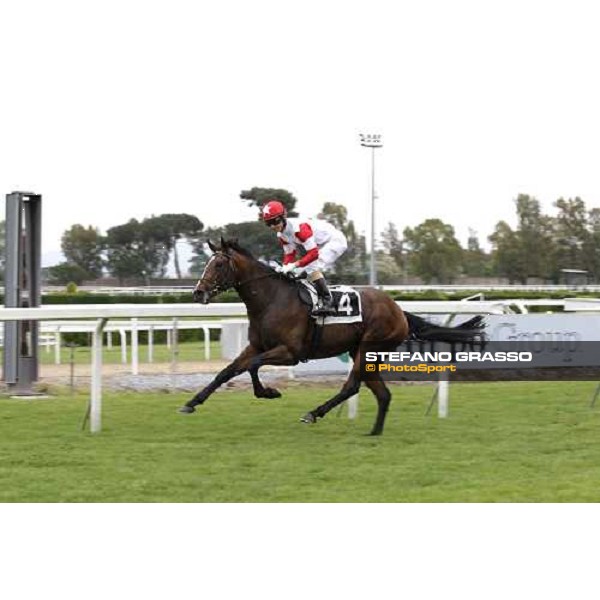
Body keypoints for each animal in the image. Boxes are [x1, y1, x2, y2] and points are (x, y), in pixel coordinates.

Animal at [178, 237, 482, 434]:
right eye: (208, 263)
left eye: (218, 265)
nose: (198, 293)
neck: (271, 299)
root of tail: (398, 310)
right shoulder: (255, 346)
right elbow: (226, 372)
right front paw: (191, 403)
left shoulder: (290, 352)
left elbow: (253, 366)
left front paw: (269, 392)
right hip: (365, 352)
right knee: (381, 393)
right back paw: (374, 432)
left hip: (369, 348)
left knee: (353, 386)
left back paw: (314, 414)